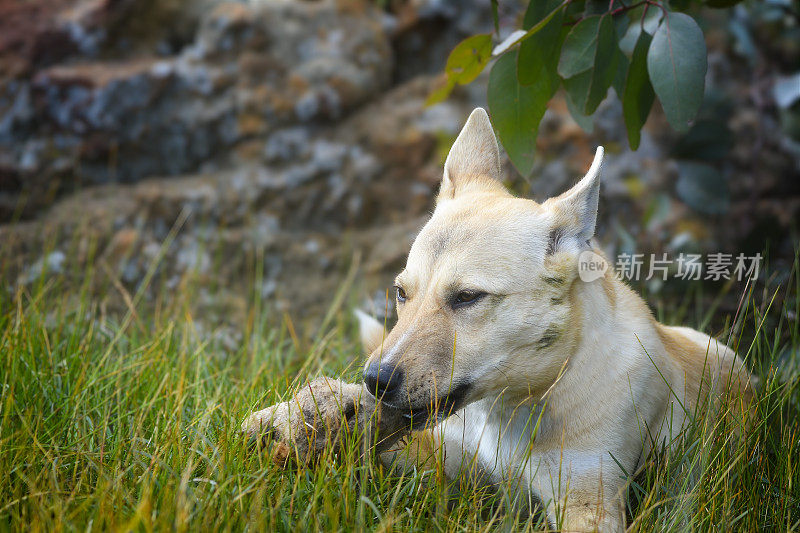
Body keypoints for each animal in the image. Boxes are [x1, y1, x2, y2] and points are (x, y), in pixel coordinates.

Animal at [241, 108, 752, 532]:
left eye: (468, 298)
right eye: (402, 293)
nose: (375, 381)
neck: (513, 408)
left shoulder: (589, 498)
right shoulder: (438, 457)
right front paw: (311, 416)